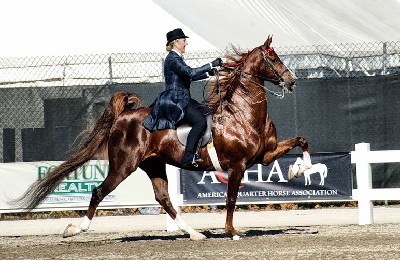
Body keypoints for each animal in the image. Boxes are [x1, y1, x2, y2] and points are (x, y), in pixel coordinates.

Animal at [8, 35, 310, 241]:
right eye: (274, 58)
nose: (292, 81)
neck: (243, 112)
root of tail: (123, 116)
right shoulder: (237, 165)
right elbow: (232, 199)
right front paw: (232, 231)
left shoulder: (264, 155)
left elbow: (301, 142)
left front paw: (297, 170)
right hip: (123, 165)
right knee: (99, 192)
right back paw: (75, 229)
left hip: (153, 164)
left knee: (163, 198)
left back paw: (194, 233)